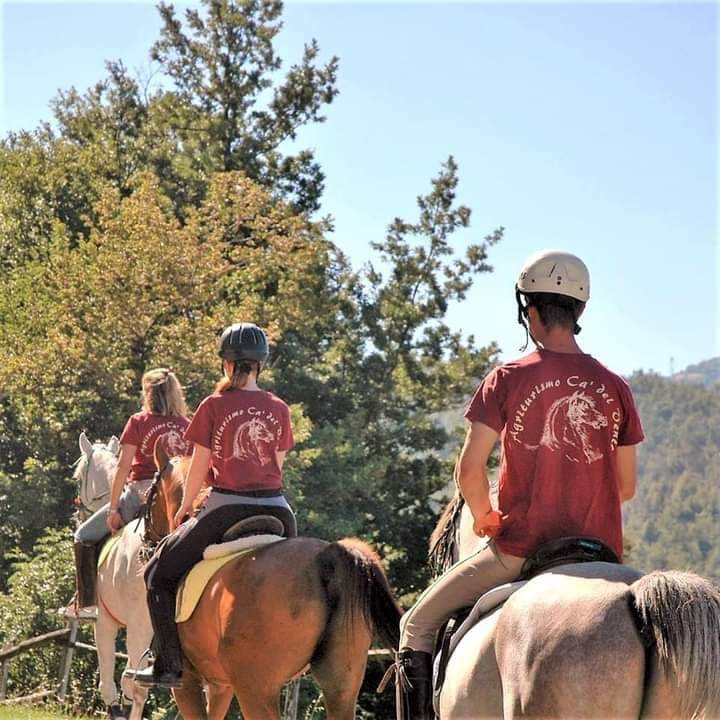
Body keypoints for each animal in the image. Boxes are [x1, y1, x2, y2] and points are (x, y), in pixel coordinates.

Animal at [73, 434, 153, 720]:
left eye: (78, 477)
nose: (77, 514)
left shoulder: (105, 622)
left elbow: (109, 684)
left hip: (141, 627)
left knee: (132, 682)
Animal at [148, 444, 402, 720]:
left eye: (151, 493)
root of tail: (325, 556)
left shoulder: (188, 684)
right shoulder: (220, 686)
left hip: (256, 689)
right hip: (341, 684)